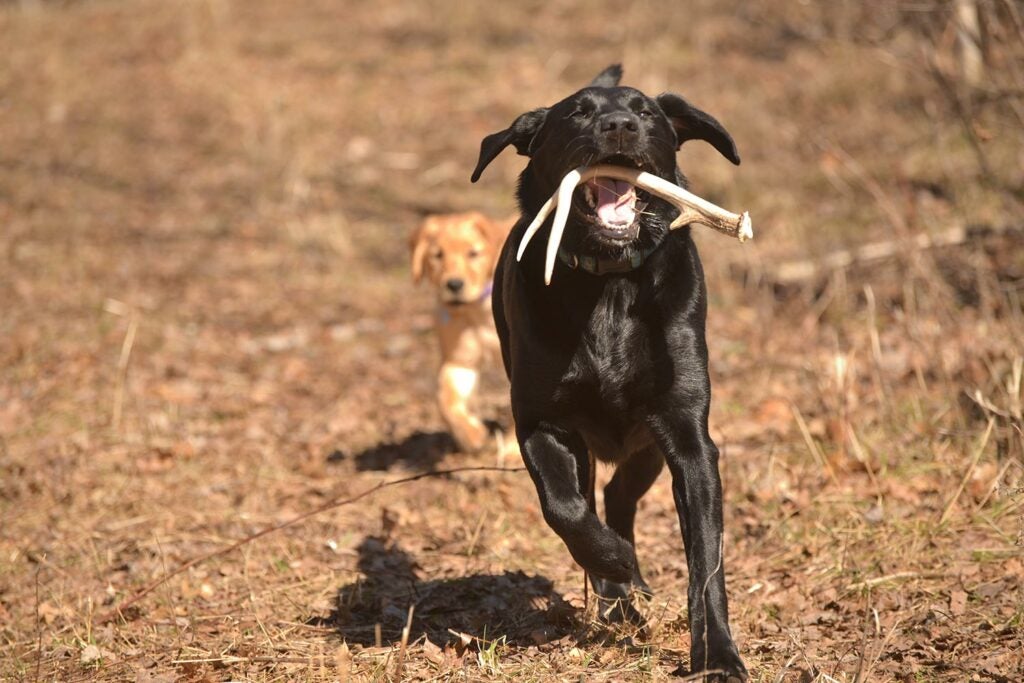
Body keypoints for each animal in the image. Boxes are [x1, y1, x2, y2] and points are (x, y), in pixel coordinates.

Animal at [409, 210, 509, 450]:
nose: (454, 285)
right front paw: (470, 434)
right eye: (437, 255)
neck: (477, 311)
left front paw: (512, 450)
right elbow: (444, 397)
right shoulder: (460, 361)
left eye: (473, 253)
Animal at [468, 62, 745, 679]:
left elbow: (706, 565)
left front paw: (717, 655)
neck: (610, 283)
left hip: (645, 446)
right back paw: (617, 588)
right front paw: (613, 565)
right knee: (595, 500)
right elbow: (565, 508)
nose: (619, 125)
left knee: (621, 496)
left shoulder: (688, 436)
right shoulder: (542, 424)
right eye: (577, 112)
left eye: (645, 112)